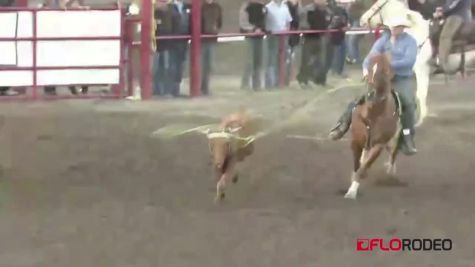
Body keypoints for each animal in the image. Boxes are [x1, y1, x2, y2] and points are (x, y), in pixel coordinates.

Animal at [344, 52, 404, 199]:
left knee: (393, 154)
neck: (372, 116)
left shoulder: (379, 145)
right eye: (370, 67)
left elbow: (364, 166)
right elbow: (357, 165)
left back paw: (390, 173)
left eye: (385, 70)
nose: (371, 94)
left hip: (393, 140)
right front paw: (351, 186)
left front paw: (352, 191)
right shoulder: (356, 141)